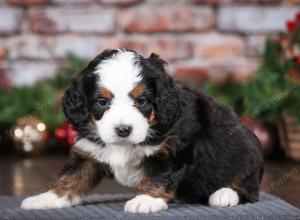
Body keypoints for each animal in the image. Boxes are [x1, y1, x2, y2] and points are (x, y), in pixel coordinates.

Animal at [21, 49, 264, 212]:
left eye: (142, 101)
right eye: (102, 102)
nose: (123, 130)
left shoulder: (175, 149)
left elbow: (159, 175)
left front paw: (146, 200)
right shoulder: (89, 151)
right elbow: (71, 177)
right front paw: (47, 198)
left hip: (248, 154)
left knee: (249, 189)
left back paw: (224, 194)